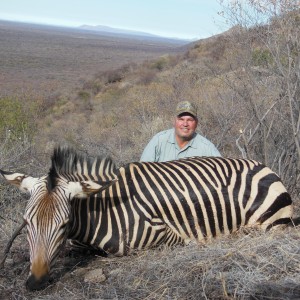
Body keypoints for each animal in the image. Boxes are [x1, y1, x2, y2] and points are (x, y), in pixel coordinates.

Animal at [0, 146, 296, 290]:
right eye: (27, 223)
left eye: (63, 225)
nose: (35, 282)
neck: (102, 209)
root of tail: (266, 167)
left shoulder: (163, 234)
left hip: (267, 223)